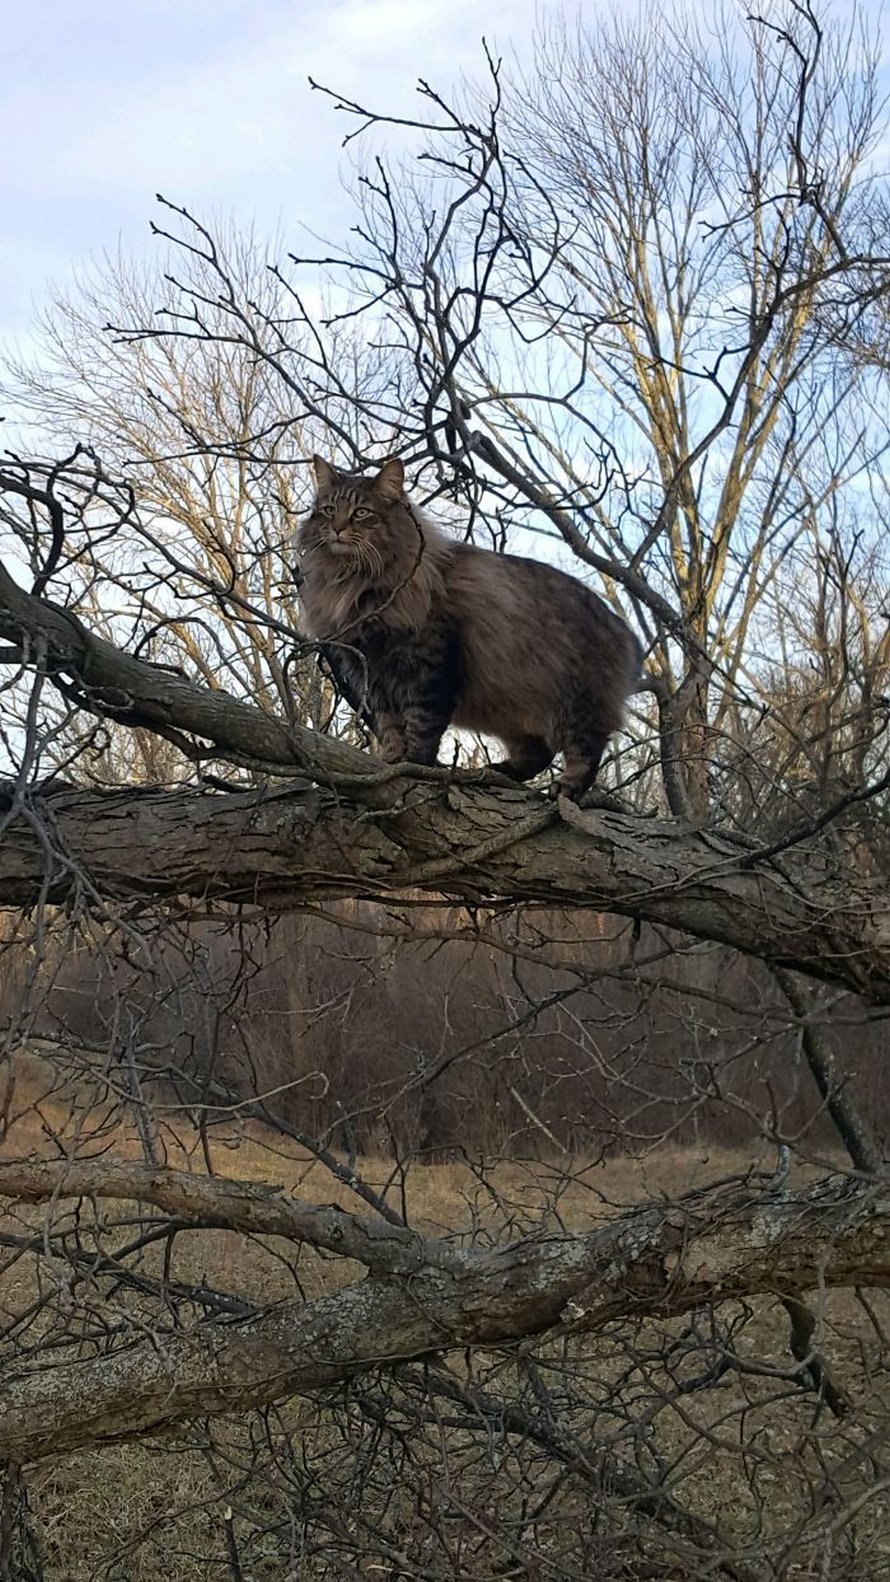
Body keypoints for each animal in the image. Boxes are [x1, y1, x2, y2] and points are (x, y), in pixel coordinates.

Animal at [295, 458, 644, 803]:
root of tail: (623, 629)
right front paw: (391, 760)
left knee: (586, 750)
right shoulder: (373, 672)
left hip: (578, 702)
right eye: (328, 509)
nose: (337, 528)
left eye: (361, 512)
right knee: (539, 753)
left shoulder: (429, 667)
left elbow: (421, 725)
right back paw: (500, 771)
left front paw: (414, 765)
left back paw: (565, 789)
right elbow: (390, 726)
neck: (355, 583)